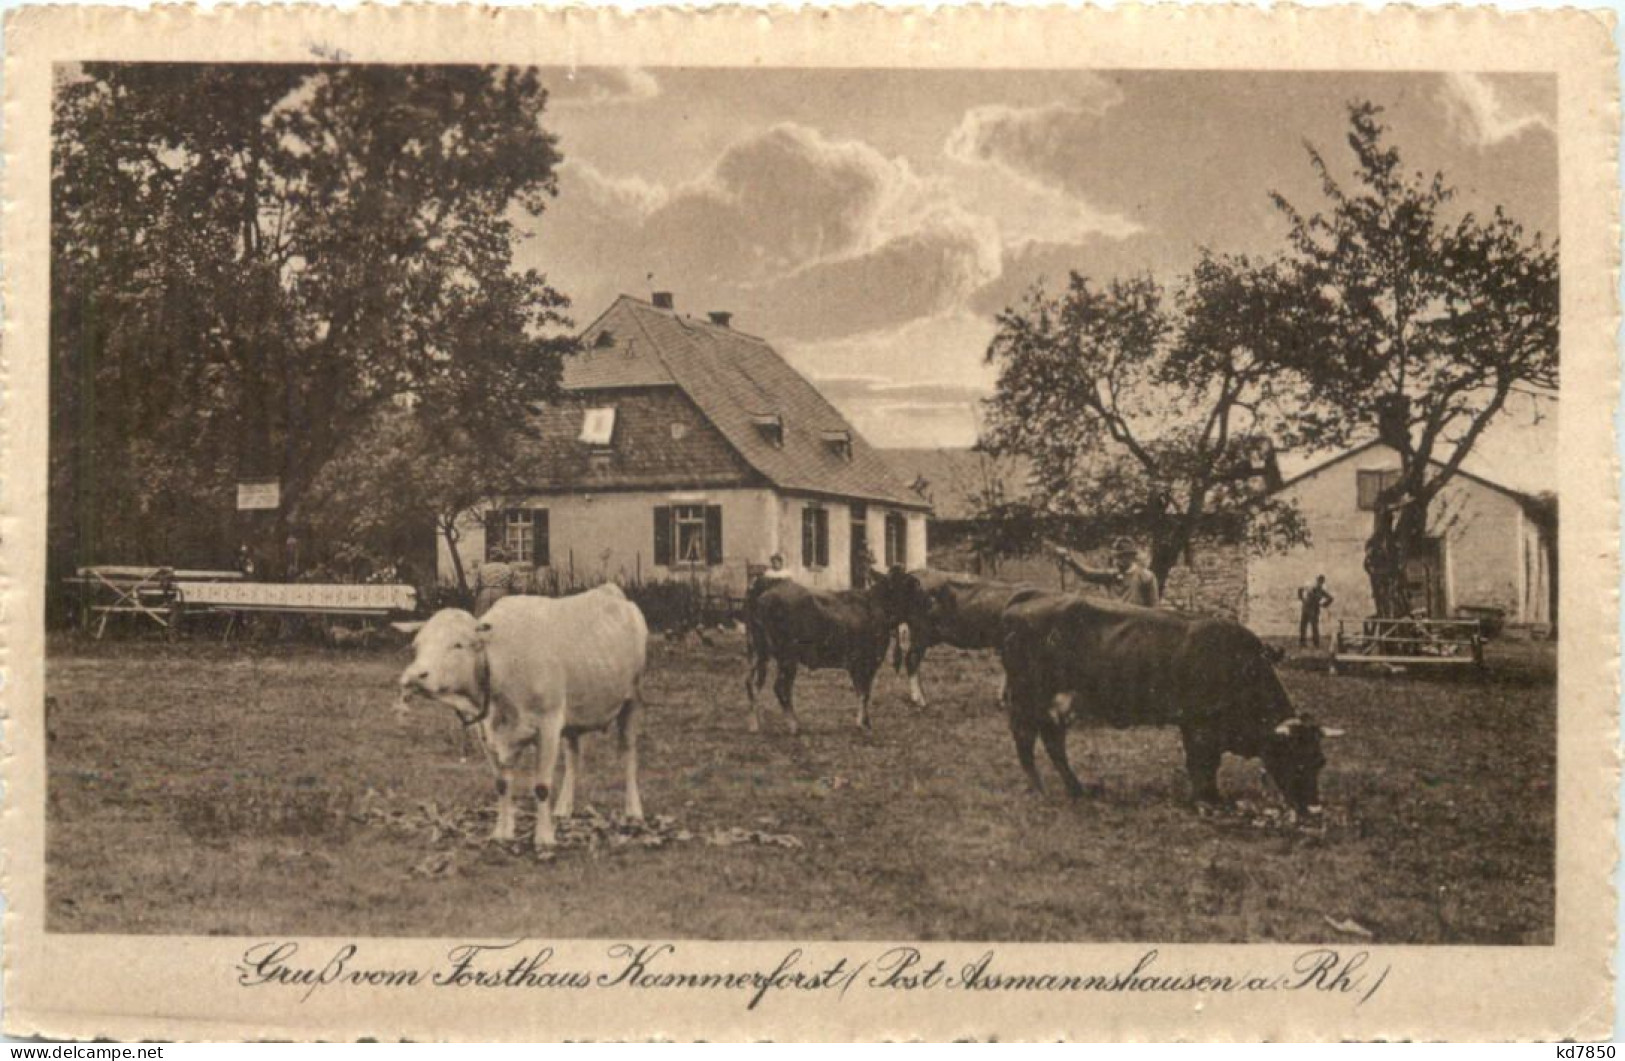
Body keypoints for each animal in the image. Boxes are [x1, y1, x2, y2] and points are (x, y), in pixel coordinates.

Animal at [393, 578, 646, 844]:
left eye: (457, 645)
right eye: (417, 645)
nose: (415, 675)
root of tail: (609, 591)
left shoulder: (548, 725)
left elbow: (542, 786)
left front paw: (544, 837)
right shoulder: (487, 732)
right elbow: (502, 784)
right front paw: (502, 833)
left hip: (633, 699)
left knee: (629, 755)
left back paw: (633, 811)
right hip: (572, 714)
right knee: (573, 755)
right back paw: (563, 808)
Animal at [744, 565, 923, 731]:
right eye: (912, 584)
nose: (927, 603)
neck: (876, 605)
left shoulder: (855, 664)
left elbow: (860, 691)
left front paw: (863, 722)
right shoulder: (868, 662)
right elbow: (865, 693)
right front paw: (864, 724)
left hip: (759, 652)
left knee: (752, 683)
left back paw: (755, 724)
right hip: (786, 656)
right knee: (780, 687)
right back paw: (794, 726)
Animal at [994, 594, 1339, 812]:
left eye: (1320, 760)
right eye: (1293, 757)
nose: (1313, 808)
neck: (1237, 666)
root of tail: (1020, 605)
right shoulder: (1199, 727)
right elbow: (1202, 764)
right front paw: (1208, 800)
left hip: (1054, 705)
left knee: (1053, 742)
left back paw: (1077, 789)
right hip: (1028, 698)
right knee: (1026, 741)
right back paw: (1040, 790)